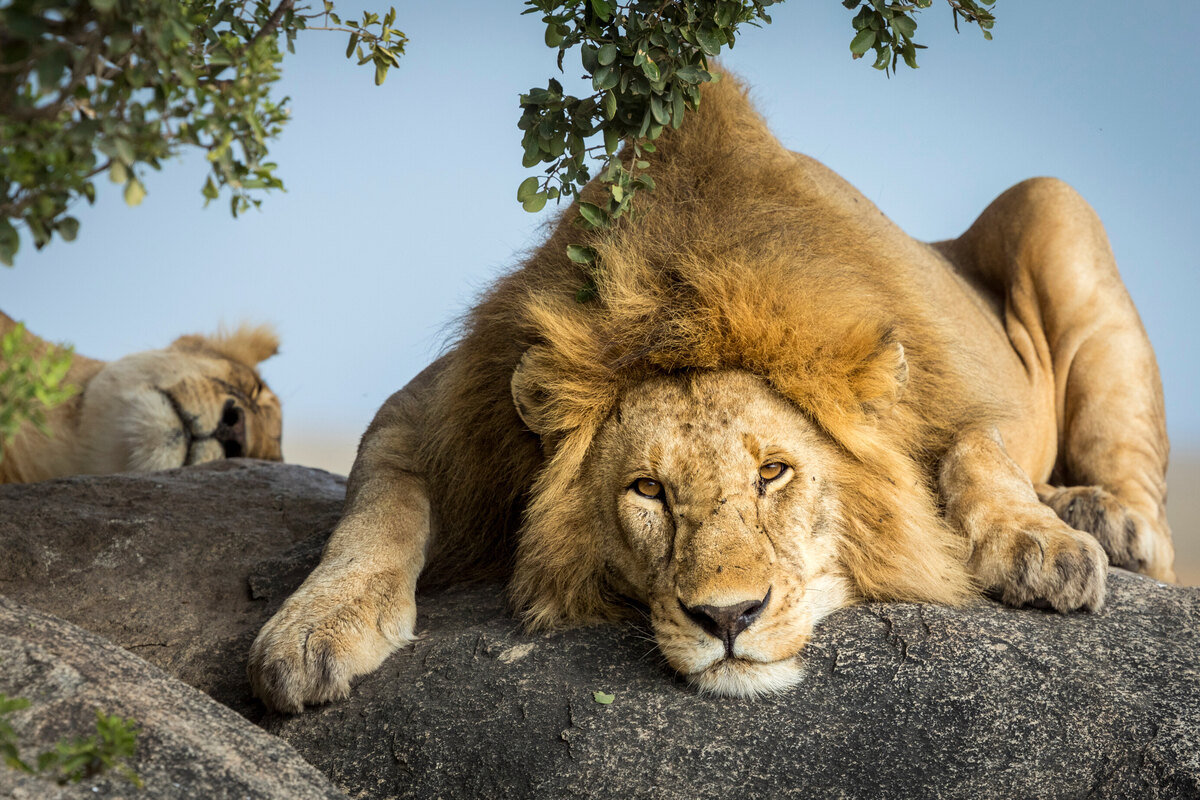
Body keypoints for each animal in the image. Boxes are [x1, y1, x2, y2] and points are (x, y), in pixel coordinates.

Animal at [243, 73, 1171, 714]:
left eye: (774, 473)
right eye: (648, 490)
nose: (727, 620)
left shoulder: (947, 387)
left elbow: (980, 448)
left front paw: (1037, 543)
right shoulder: (435, 412)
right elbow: (379, 508)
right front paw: (312, 628)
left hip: (1054, 204)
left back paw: (1105, 520)